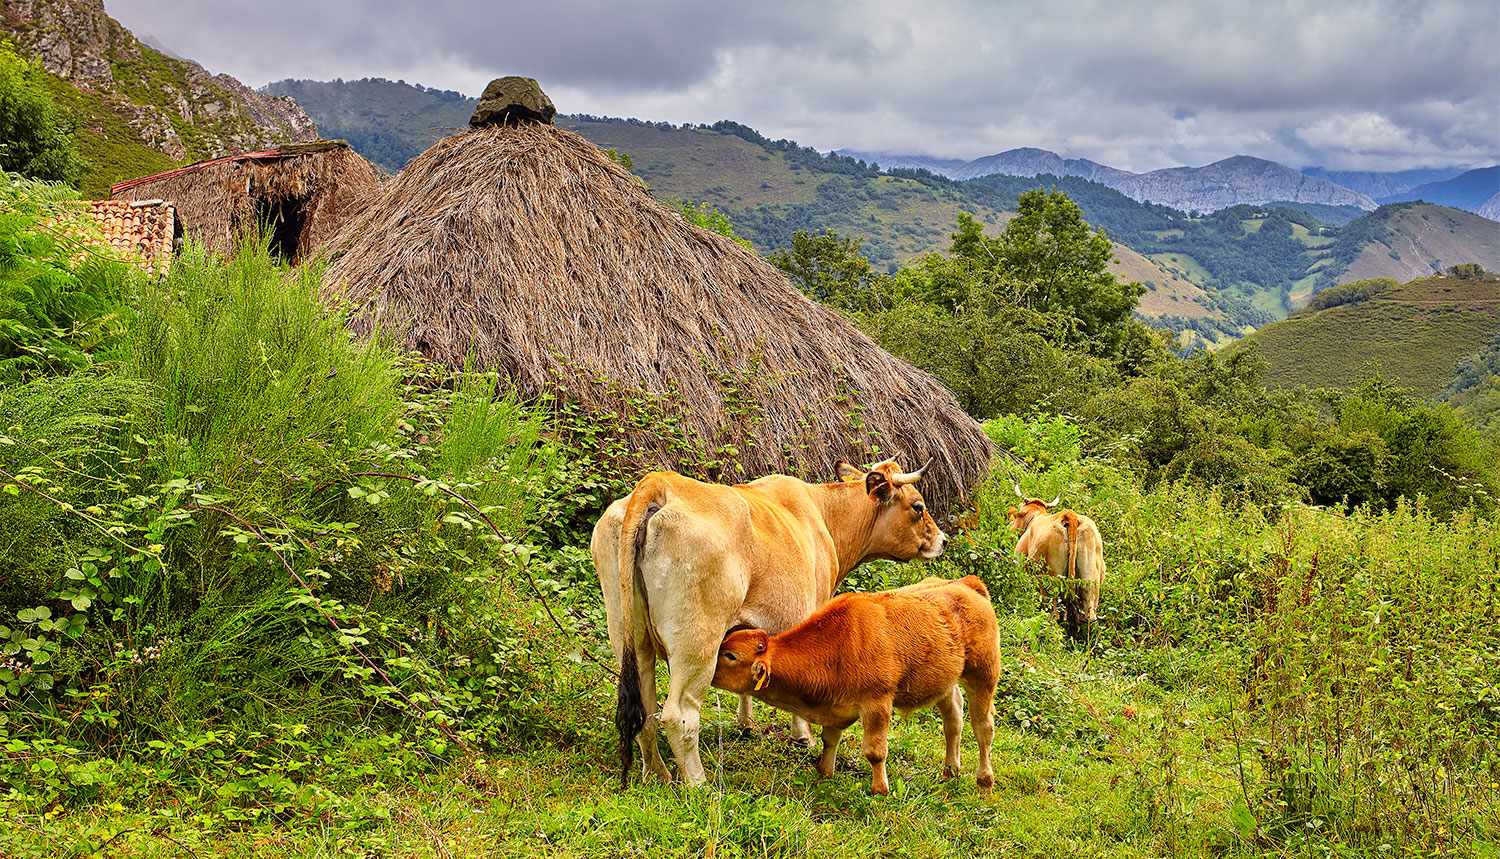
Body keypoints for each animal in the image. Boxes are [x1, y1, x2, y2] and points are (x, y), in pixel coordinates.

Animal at [591, 458, 942, 785]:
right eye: (918, 506)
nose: (942, 540)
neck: (825, 516)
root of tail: (660, 483)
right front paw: (802, 735)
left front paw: (746, 724)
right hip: (697, 641)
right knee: (679, 715)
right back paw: (698, 784)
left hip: (629, 635)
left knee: (645, 710)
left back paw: (657, 774)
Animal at [711, 572, 996, 791]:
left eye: (730, 655)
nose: (708, 670)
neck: (839, 643)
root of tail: (966, 583)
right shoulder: (835, 706)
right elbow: (829, 739)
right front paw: (825, 772)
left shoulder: (877, 702)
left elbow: (875, 751)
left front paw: (880, 789)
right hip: (944, 680)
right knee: (953, 719)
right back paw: (950, 770)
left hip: (984, 674)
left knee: (983, 728)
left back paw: (984, 780)